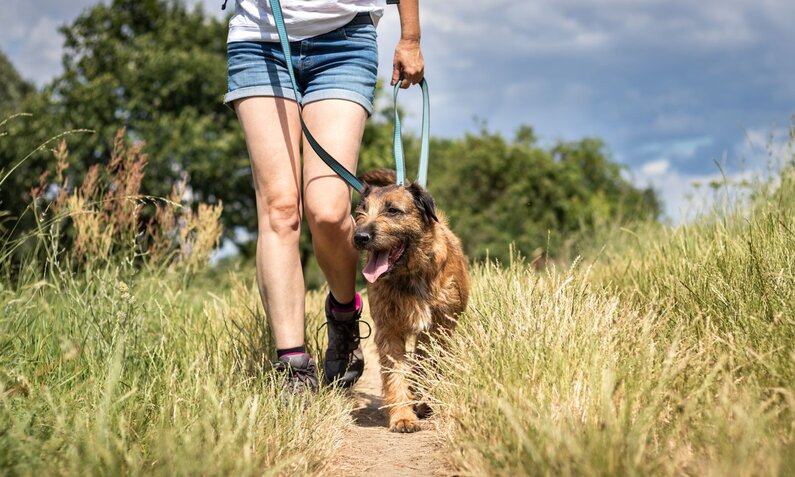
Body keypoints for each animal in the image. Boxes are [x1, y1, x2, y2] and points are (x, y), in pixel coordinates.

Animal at [352, 169, 470, 434]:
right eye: (362, 210)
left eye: (393, 210)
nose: (360, 237)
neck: (410, 274)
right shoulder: (389, 330)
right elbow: (395, 373)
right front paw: (403, 417)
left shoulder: (439, 328)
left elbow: (428, 365)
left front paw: (422, 401)